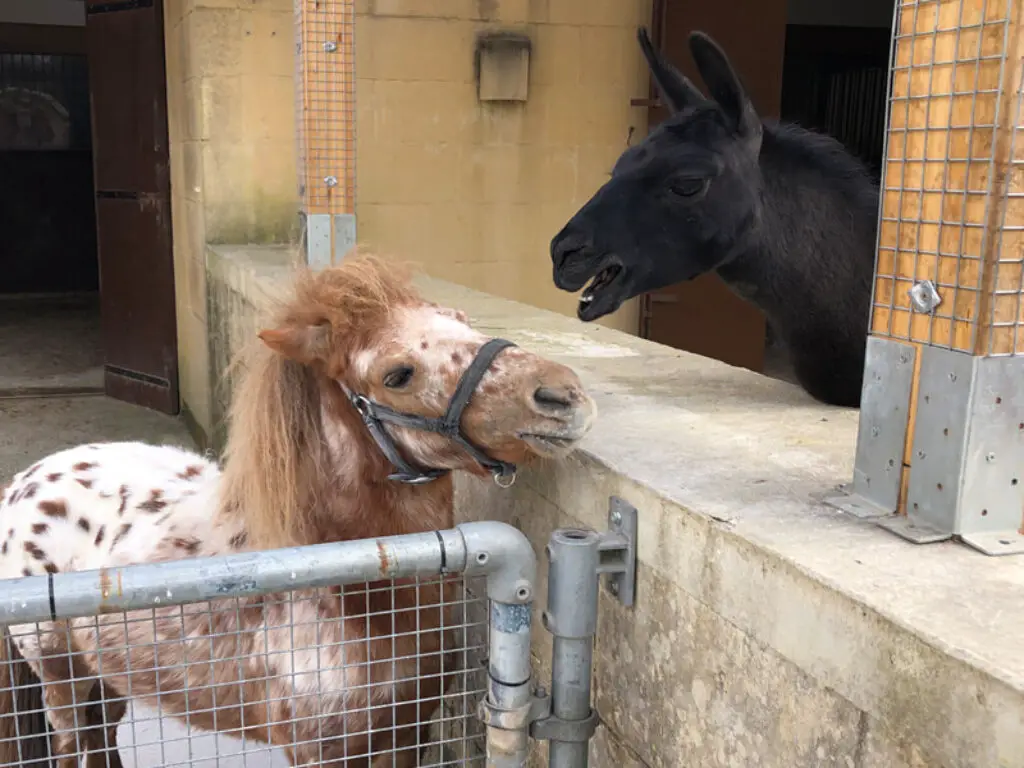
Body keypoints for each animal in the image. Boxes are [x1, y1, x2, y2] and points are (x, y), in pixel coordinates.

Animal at [0, 249, 598, 765]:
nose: (562, 395)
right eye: (397, 374)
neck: (355, 594)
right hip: (61, 679)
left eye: (461, 319)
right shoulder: (320, 752)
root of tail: (24, 482)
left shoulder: (409, 730)